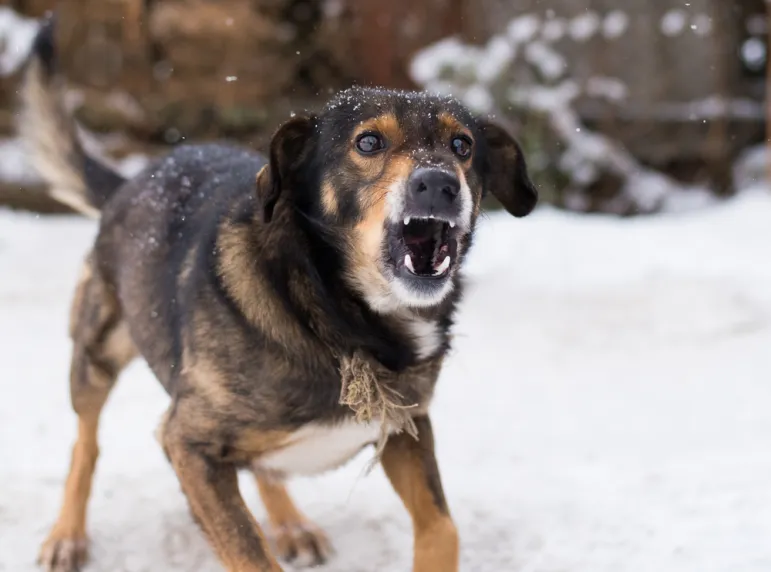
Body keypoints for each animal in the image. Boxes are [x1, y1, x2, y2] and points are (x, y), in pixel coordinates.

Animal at [18, 15, 536, 572]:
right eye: (369, 143)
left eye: (462, 146)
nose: (439, 184)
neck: (333, 313)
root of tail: (133, 181)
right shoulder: (188, 443)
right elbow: (250, 552)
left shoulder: (405, 427)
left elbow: (442, 527)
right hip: (97, 353)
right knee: (85, 444)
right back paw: (67, 535)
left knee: (262, 467)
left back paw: (290, 523)